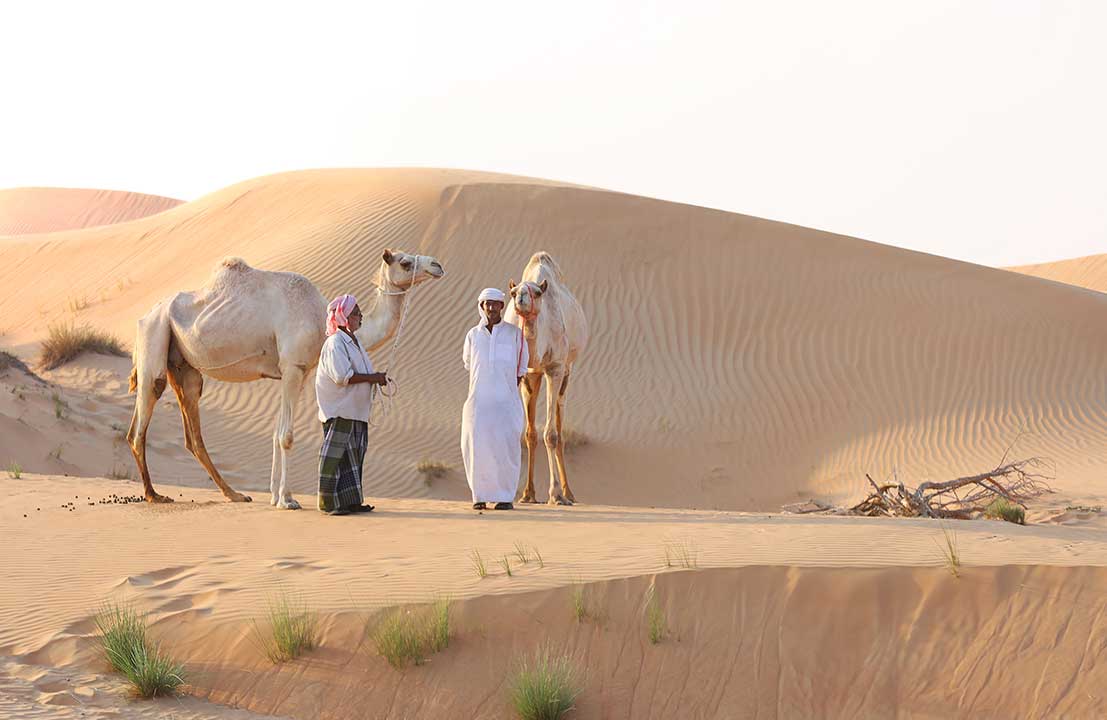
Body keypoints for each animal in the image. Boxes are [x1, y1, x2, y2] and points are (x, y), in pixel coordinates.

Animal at [127, 249, 445, 508]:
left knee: (192, 431)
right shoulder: (293, 366)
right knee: (141, 421)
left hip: (184, 365)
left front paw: (275, 495)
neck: (321, 320)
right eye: (405, 262)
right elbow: (287, 437)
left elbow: (277, 432)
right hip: (154, 335)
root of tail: (145, 315)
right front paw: (287, 500)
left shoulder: (296, 372)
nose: (437, 265)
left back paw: (234, 494)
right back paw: (154, 495)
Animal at [506, 252, 589, 505]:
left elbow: (550, 435)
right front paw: (527, 494)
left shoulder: (555, 368)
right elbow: (529, 434)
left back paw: (568, 493)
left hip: (567, 371)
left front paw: (555, 494)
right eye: (513, 292)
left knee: (560, 424)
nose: (521, 297)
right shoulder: (528, 374)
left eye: (538, 293)